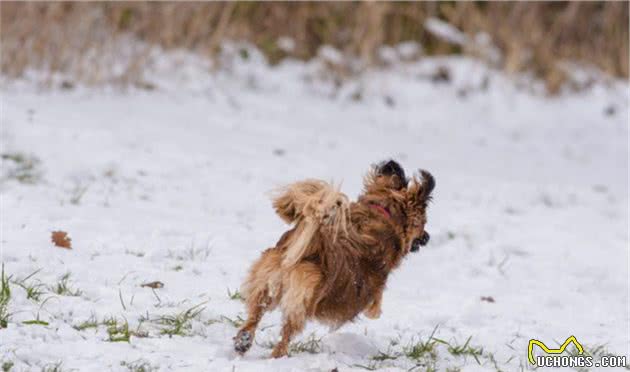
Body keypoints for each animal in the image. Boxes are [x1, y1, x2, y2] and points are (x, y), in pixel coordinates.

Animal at [235, 161, 436, 358]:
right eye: (424, 223)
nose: (427, 237)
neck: (382, 212)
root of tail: (313, 245)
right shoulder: (375, 291)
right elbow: (375, 307)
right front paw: (375, 313)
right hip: (301, 298)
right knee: (286, 333)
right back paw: (277, 355)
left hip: (265, 283)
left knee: (254, 315)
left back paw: (243, 341)